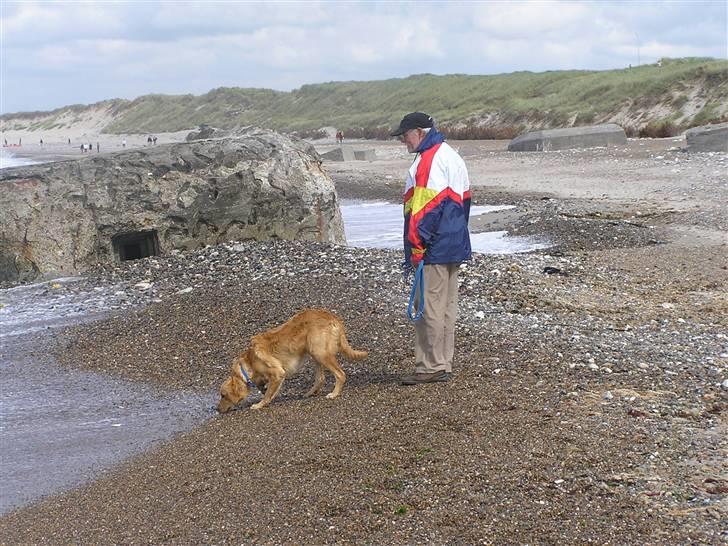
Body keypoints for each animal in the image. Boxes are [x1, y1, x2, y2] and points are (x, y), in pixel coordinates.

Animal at [215, 308, 364, 410]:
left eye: (223, 395)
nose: (217, 410)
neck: (249, 361)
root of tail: (332, 317)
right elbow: (267, 389)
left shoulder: (277, 373)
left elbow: (267, 394)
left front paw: (259, 404)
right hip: (314, 353)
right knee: (321, 378)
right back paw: (310, 393)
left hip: (320, 353)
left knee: (340, 374)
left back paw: (334, 393)